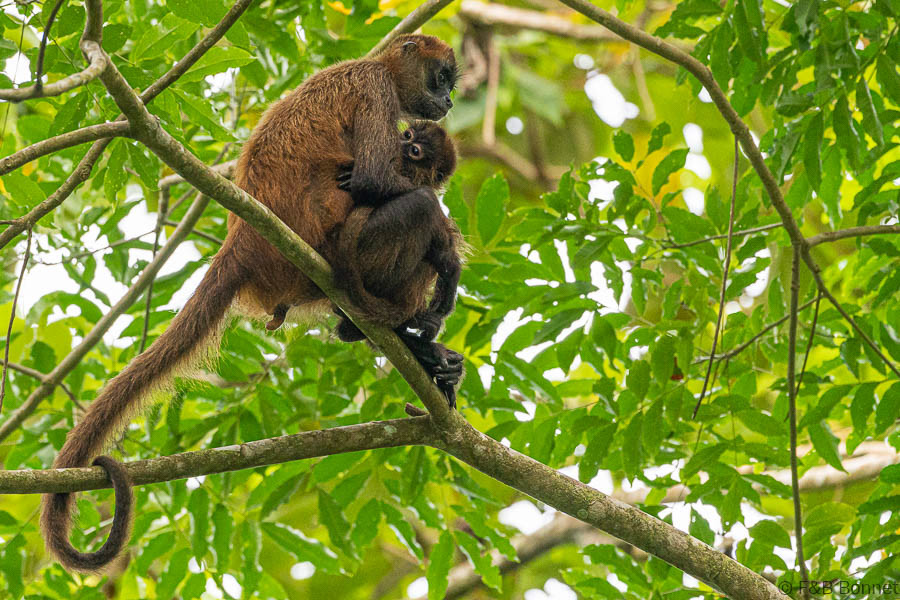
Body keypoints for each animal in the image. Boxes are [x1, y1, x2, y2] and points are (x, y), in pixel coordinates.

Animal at [42, 34, 460, 573]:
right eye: (440, 78)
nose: (448, 100)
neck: (379, 67)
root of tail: (243, 238)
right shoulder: (375, 90)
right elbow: (372, 179)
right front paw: (449, 261)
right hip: (337, 247)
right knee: (422, 205)